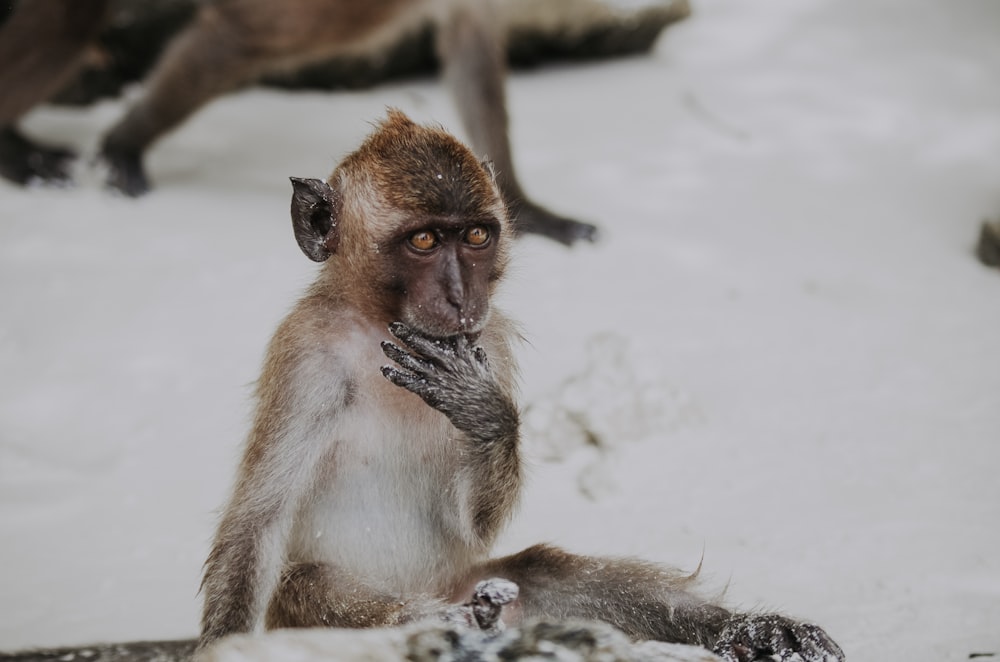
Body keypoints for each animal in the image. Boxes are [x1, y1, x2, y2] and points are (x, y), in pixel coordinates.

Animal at [197, 109, 844, 662]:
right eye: (425, 241)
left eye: (476, 237)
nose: (462, 296)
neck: (379, 326)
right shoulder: (306, 355)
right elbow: (257, 521)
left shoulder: (493, 340)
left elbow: (472, 523)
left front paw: (484, 413)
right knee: (309, 580)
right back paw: (444, 626)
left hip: (473, 582)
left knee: (543, 571)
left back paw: (745, 630)